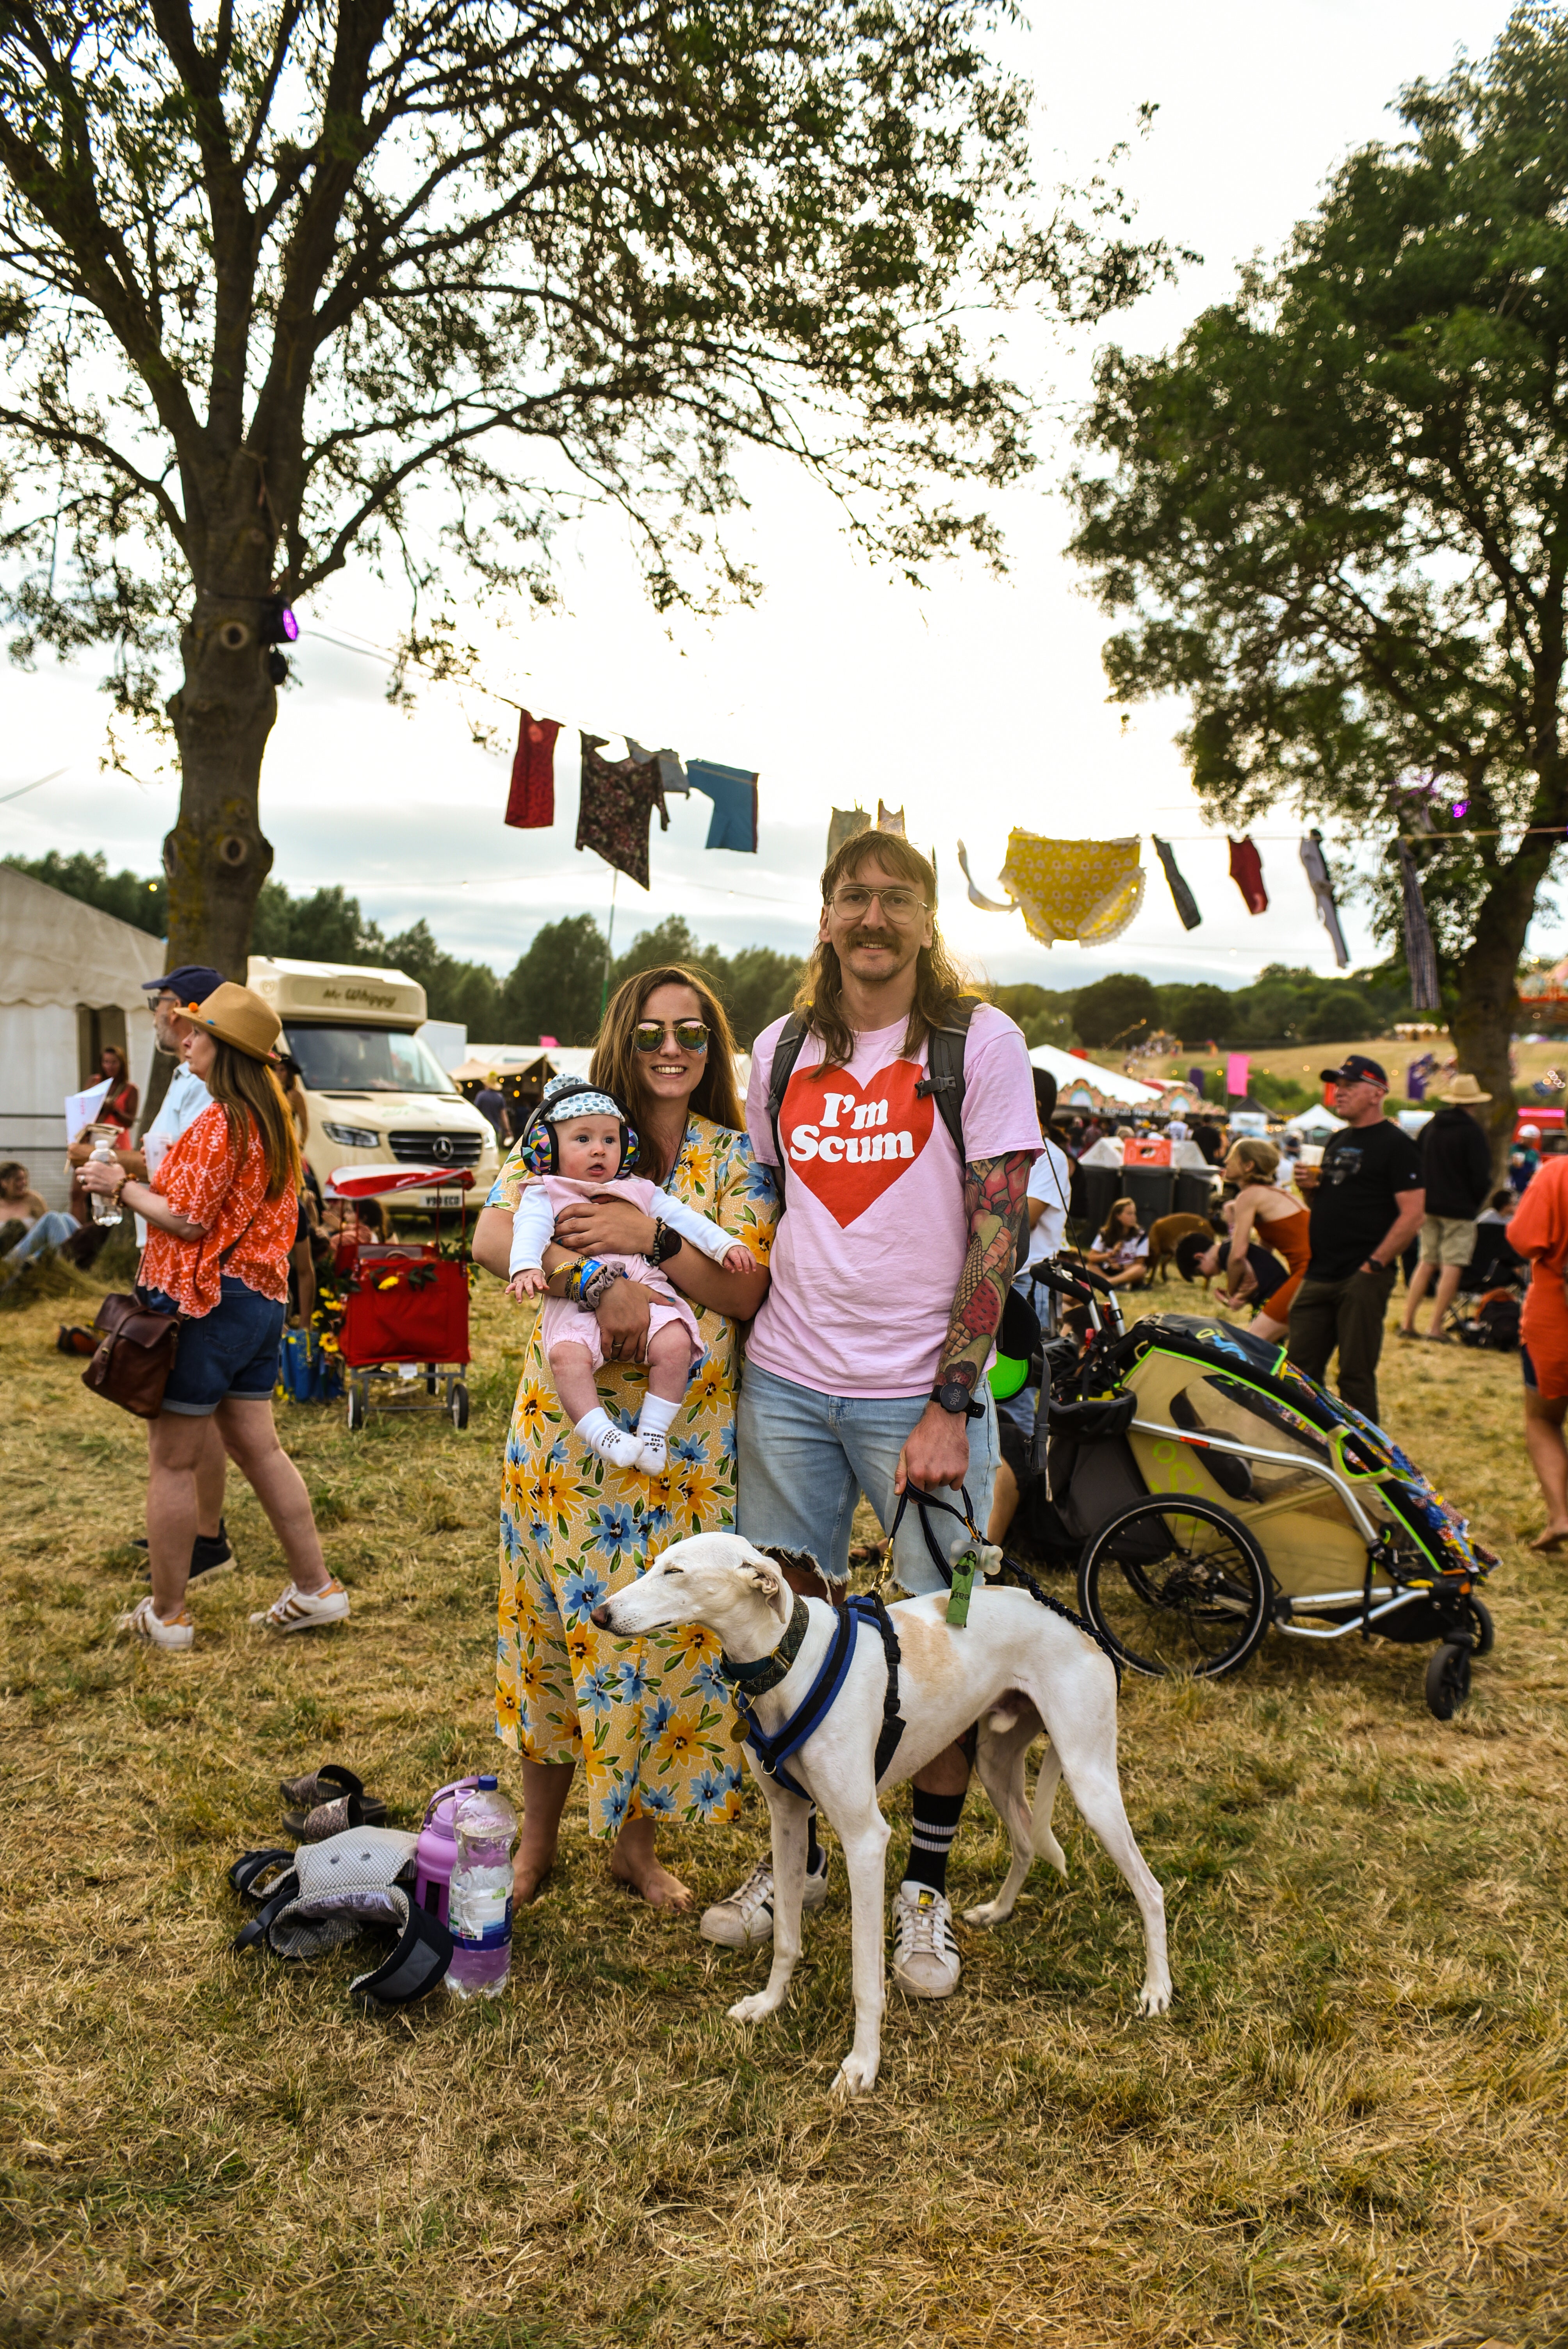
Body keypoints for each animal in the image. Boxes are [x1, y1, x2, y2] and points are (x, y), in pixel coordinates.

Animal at [594, 1531, 1169, 2105]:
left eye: (676, 1573)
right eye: (654, 1564)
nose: (600, 1614)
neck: (791, 1662)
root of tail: (1083, 1627)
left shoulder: (866, 1840)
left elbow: (865, 1978)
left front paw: (861, 2065)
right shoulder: (787, 1819)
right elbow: (785, 1935)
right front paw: (769, 2003)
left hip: (1089, 1779)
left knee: (1150, 1888)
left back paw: (1156, 1990)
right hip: (995, 1761)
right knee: (1027, 1839)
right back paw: (997, 1912)